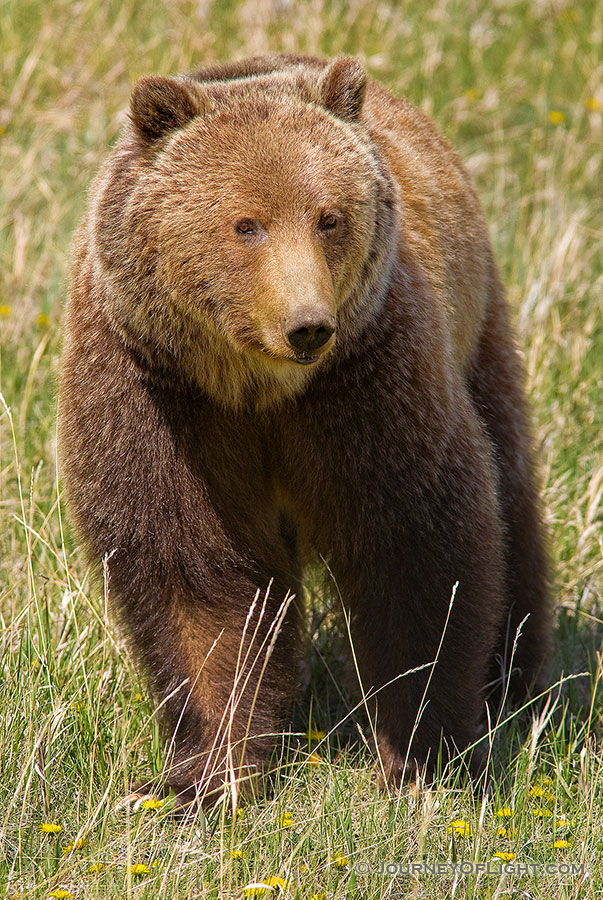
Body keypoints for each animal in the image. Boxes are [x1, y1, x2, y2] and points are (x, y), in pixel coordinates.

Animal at [60, 52, 552, 804]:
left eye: (329, 218)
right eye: (245, 224)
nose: (308, 325)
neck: (257, 390)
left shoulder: (366, 389)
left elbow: (416, 549)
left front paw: (419, 757)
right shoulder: (160, 400)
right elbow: (198, 580)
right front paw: (207, 777)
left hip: (476, 331)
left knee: (509, 489)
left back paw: (514, 677)